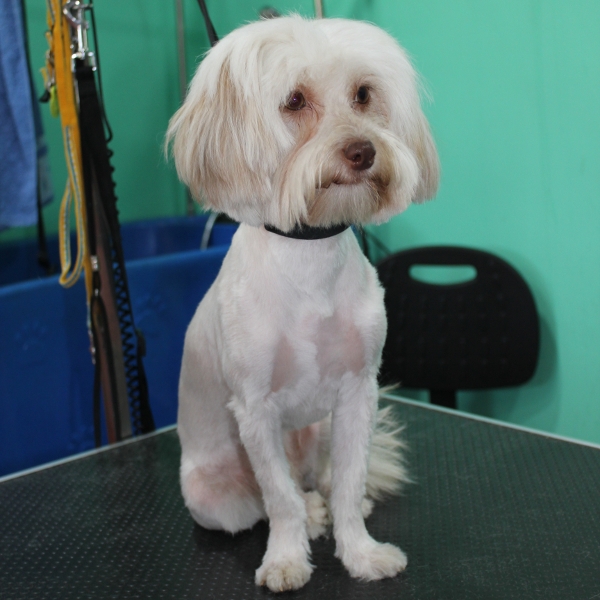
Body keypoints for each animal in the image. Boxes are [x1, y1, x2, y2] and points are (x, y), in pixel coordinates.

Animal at [166, 14, 438, 592]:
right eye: (294, 100)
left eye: (364, 94)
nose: (363, 152)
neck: (309, 254)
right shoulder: (255, 411)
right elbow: (280, 498)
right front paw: (287, 560)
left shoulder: (358, 393)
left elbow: (350, 486)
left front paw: (362, 554)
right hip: (213, 497)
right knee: (270, 501)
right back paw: (308, 517)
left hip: (320, 433)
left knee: (321, 481)